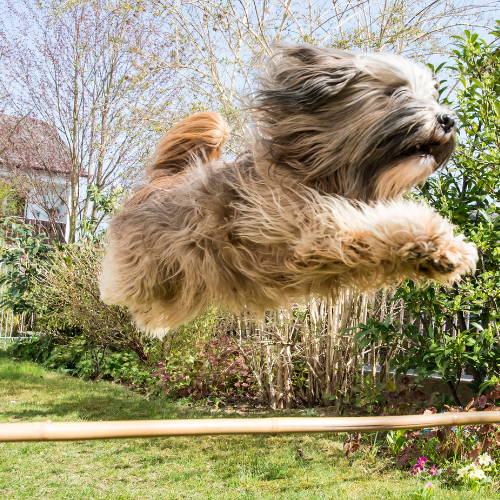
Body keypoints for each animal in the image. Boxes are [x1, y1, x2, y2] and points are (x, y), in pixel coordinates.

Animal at [97, 44, 476, 336]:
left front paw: (440, 253)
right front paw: (437, 242)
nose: (447, 120)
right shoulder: (311, 228)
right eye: (393, 92)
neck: (320, 173)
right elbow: (372, 224)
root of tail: (160, 182)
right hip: (145, 270)